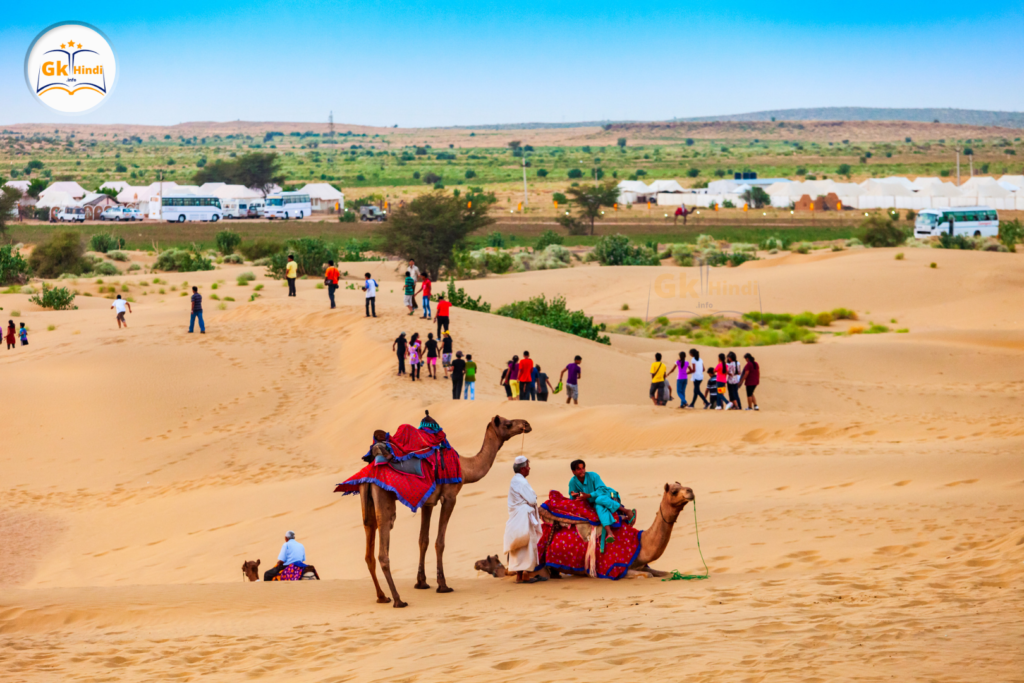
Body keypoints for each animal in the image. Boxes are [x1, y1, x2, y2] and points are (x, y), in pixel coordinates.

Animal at [360, 413, 532, 606]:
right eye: (508, 424)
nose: (526, 424)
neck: (465, 468)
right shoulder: (450, 496)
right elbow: (439, 542)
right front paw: (443, 585)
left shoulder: (427, 502)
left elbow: (423, 540)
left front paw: (421, 583)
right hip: (384, 500)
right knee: (383, 550)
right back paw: (398, 600)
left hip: (367, 506)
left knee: (368, 551)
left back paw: (382, 596)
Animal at [475, 483, 692, 581]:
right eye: (674, 490)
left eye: (681, 485)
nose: (690, 491)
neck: (641, 542)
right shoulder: (614, 568)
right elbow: (646, 576)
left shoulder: (642, 564)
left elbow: (665, 573)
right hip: (537, 565)